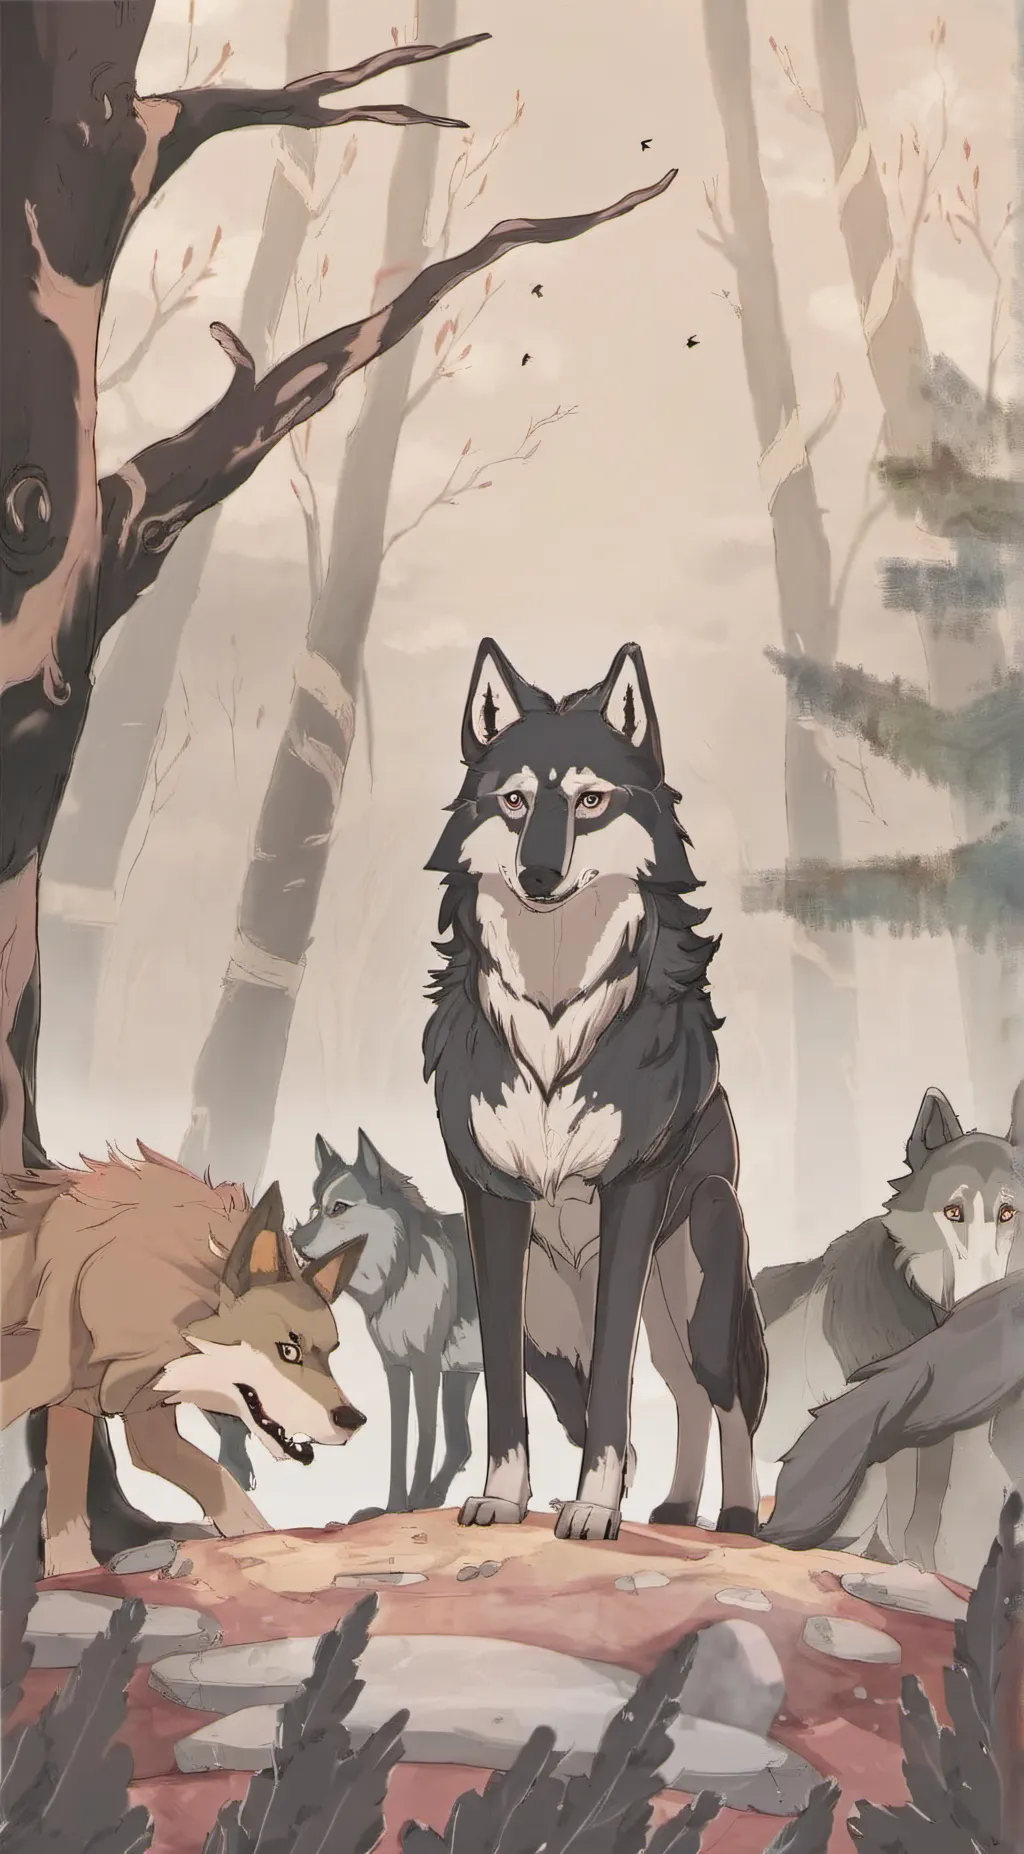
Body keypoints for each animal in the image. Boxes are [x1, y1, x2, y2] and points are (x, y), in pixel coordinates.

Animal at [205, 1129, 482, 1516]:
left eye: (338, 1208)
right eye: (314, 1208)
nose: (293, 1240)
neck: (399, 1275)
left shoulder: (426, 1368)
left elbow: (424, 1440)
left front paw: (410, 1508)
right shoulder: (397, 1369)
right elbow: (399, 1442)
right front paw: (395, 1509)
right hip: (462, 1376)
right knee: (462, 1444)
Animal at [422, 636, 767, 1543]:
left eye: (590, 799)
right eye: (513, 801)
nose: (540, 873)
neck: (552, 1018)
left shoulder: (630, 1196)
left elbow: (616, 1383)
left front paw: (593, 1509)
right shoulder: (492, 1205)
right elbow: (504, 1388)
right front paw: (504, 1499)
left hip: (698, 1278)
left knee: (724, 1397)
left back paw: (736, 1518)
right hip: (565, 1324)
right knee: (680, 1394)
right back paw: (677, 1510)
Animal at [754, 1082, 1023, 1568]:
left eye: (1008, 1214)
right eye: (953, 1212)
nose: (981, 1311)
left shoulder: (935, 1434)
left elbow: (928, 1509)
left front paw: (920, 1566)